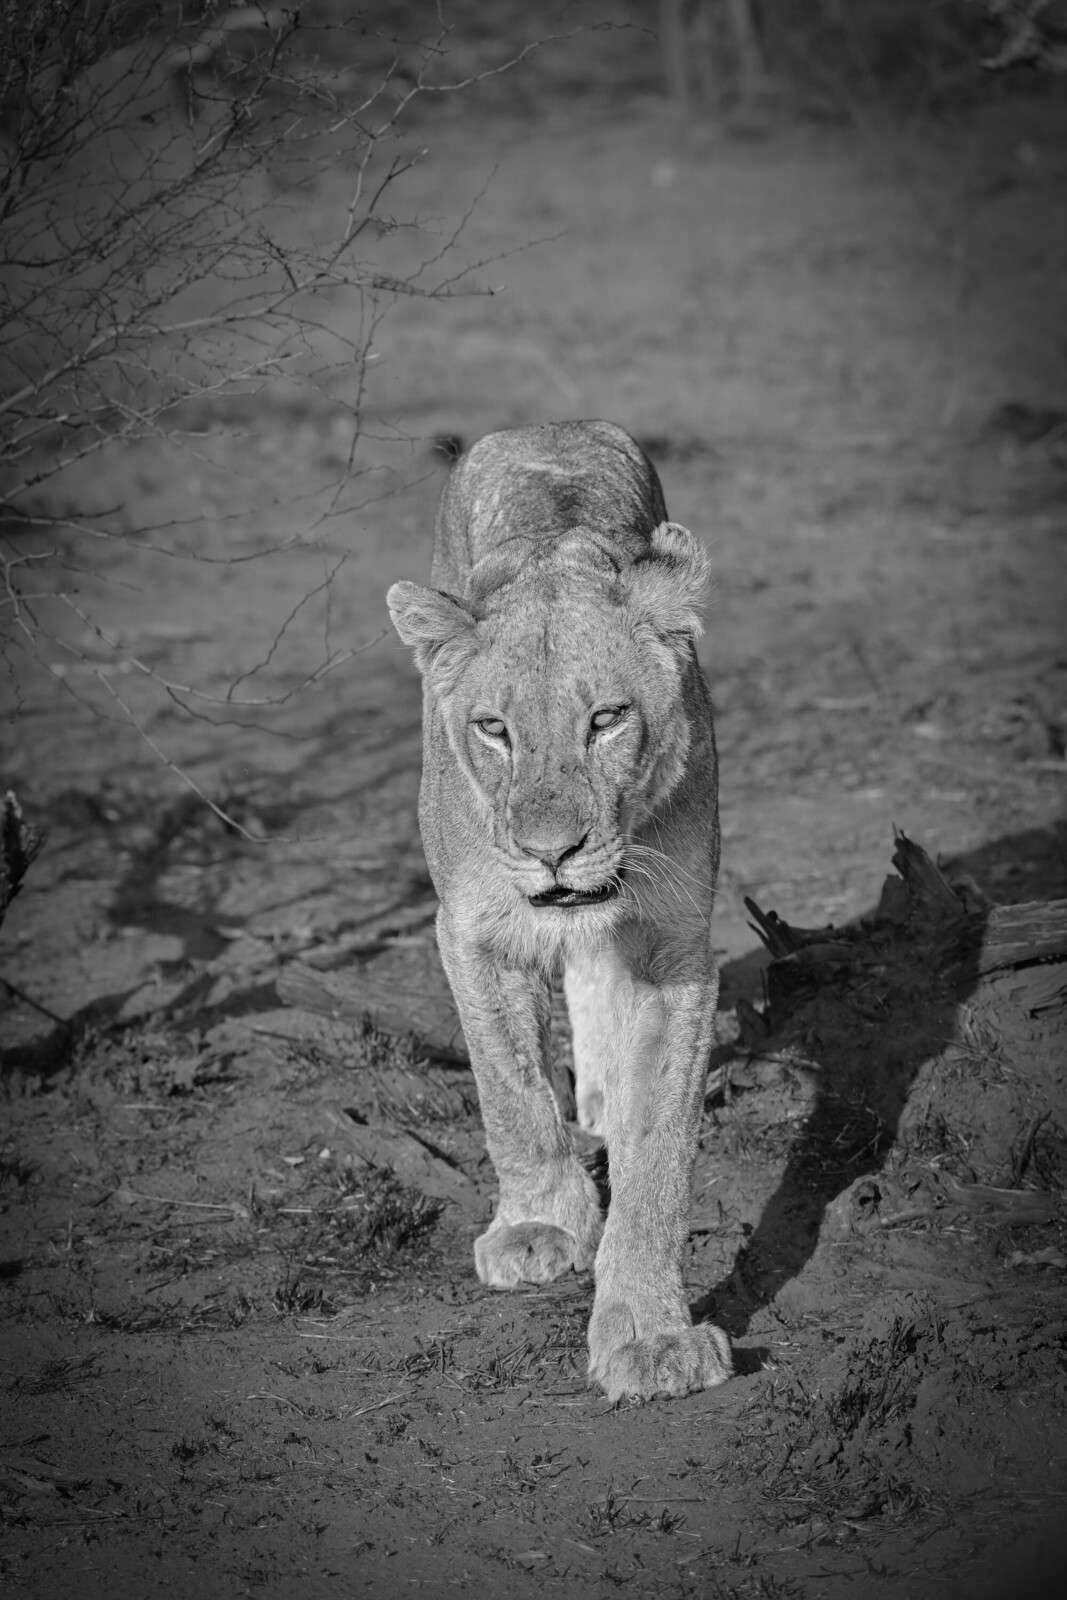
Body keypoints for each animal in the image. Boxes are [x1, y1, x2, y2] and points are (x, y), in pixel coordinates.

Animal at [387, 420, 732, 1402]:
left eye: (607, 719)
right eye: (494, 729)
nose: (552, 852)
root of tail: (548, 428)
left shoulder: (676, 949)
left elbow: (660, 1154)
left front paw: (651, 1338)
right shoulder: (470, 928)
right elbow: (508, 1087)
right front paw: (539, 1225)